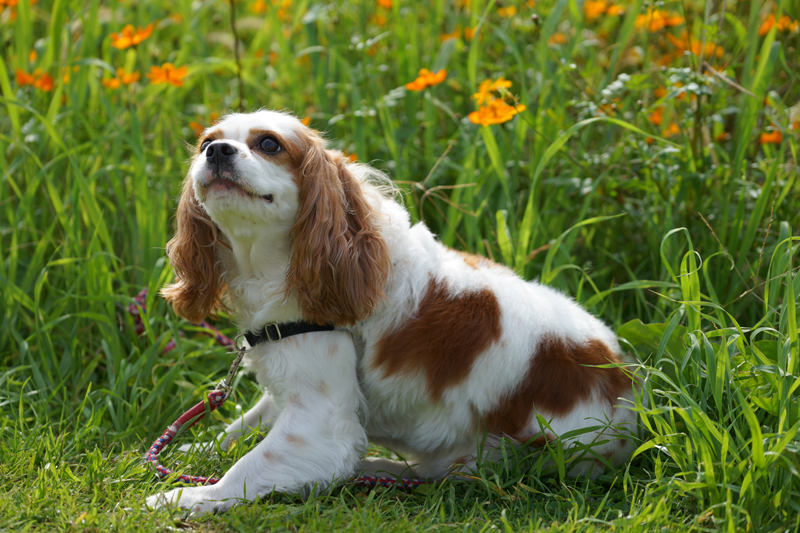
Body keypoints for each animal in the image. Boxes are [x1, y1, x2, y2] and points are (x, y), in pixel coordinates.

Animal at [145, 110, 636, 512]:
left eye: (269, 144)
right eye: (207, 142)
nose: (217, 152)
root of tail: (633, 392)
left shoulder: (320, 422)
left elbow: (250, 466)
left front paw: (189, 496)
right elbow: (243, 425)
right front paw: (200, 449)